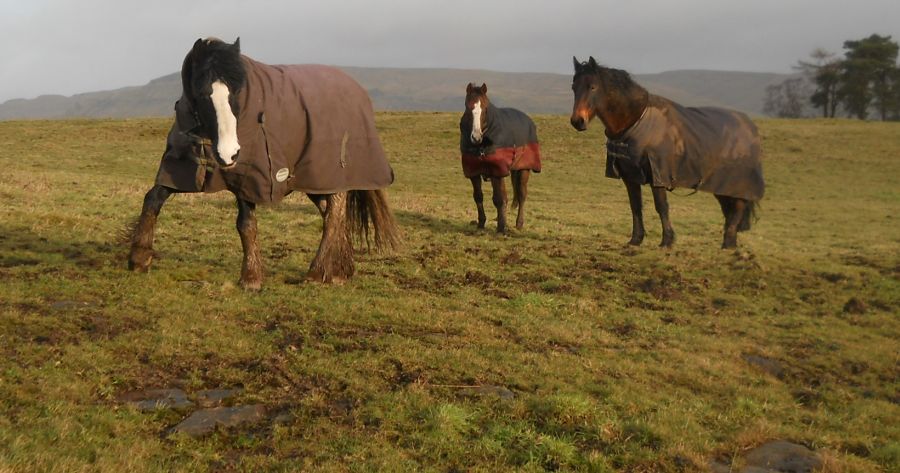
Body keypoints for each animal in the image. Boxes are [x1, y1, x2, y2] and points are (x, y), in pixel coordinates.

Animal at [126, 37, 398, 288]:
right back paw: (340, 270)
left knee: (335, 212)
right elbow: (153, 198)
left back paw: (317, 271)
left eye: (237, 92)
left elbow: (246, 224)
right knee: (330, 212)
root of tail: (357, 90)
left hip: (331, 172)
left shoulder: (249, 177)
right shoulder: (181, 167)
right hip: (313, 179)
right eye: (203, 94)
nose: (229, 154)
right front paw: (138, 258)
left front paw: (251, 277)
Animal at [460, 84, 536, 234]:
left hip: (524, 169)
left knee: (521, 194)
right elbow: (478, 196)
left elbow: (499, 199)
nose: (476, 137)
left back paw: (519, 223)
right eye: (468, 107)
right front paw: (481, 222)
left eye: (485, 108)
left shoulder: (497, 172)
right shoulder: (474, 172)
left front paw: (501, 227)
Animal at [572, 57, 764, 249]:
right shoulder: (630, 176)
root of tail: (750, 128)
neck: (636, 121)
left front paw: (667, 241)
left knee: (737, 208)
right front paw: (635, 240)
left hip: (737, 184)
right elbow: (635, 206)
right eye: (574, 86)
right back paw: (729, 243)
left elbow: (661, 206)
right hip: (721, 185)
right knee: (729, 210)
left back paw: (728, 243)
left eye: (593, 87)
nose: (577, 121)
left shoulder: (658, 175)